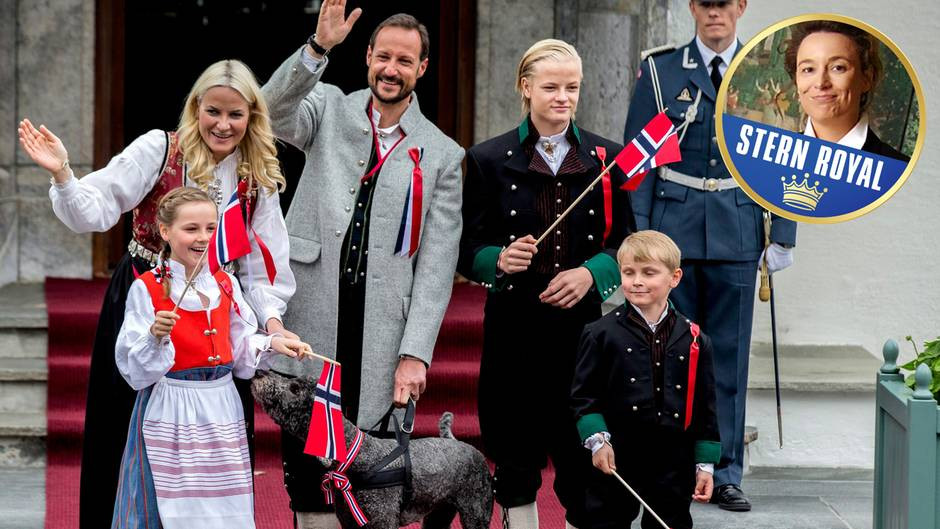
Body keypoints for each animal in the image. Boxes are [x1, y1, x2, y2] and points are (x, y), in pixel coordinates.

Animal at [253, 370, 496, 524]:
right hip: (440, 512)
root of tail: (459, 442)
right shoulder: (350, 521)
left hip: (476, 511)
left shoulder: (382, 519)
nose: (259, 373)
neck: (356, 456)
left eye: (294, 388)